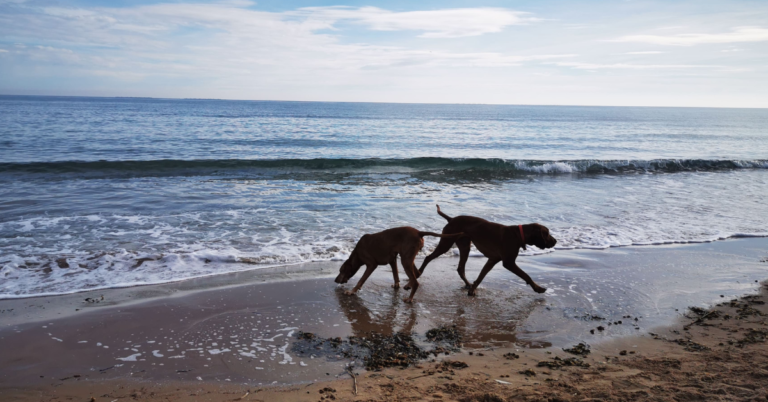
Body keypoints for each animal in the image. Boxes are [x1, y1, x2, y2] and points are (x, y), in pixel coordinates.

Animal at [334, 228, 462, 304]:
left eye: (340, 270)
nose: (335, 280)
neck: (357, 253)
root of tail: (419, 232)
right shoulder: (392, 259)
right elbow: (395, 274)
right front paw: (397, 285)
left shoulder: (371, 265)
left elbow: (361, 280)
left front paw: (352, 291)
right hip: (407, 257)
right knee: (416, 273)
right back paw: (408, 285)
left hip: (406, 259)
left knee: (416, 281)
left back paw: (410, 298)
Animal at [416, 207, 556, 296]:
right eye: (547, 234)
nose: (555, 241)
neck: (518, 235)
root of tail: (451, 219)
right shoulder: (508, 263)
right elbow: (526, 275)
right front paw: (538, 288)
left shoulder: (492, 259)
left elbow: (481, 276)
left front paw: (473, 289)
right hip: (446, 243)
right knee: (428, 257)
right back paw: (418, 273)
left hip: (465, 247)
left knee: (460, 268)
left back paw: (467, 284)